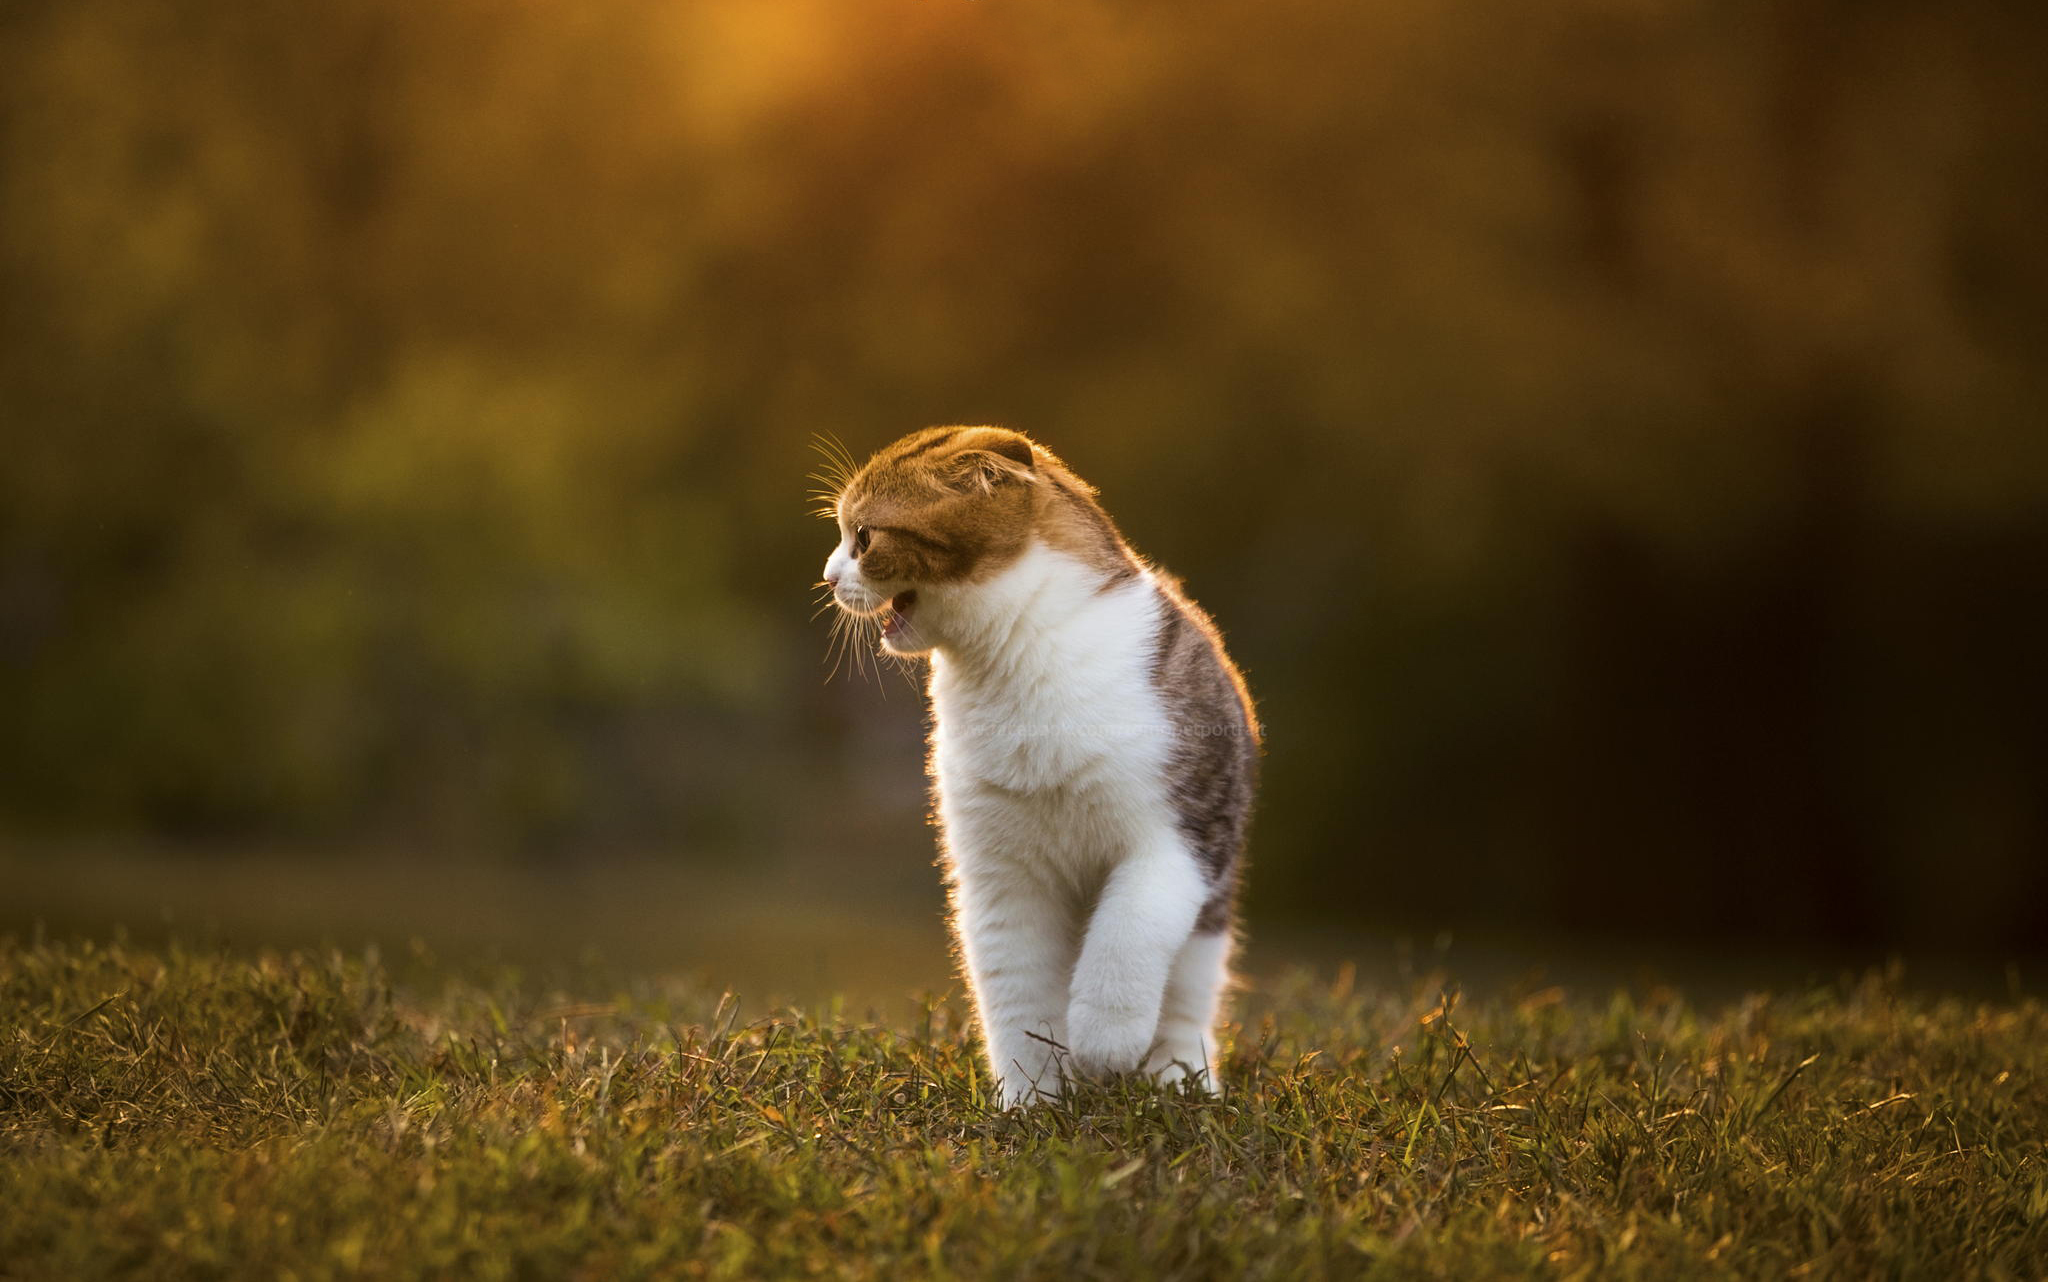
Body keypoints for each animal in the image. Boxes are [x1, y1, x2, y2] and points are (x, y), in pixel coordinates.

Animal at [819, 423, 1261, 1105]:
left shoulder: (1182, 833)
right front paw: (1031, 1100)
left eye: (863, 536)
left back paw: (1179, 1080)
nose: (827, 575)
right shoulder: (998, 870)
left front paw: (1104, 1042)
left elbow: (1129, 928)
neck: (1017, 656)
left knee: (1190, 992)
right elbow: (1015, 987)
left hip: (1211, 898)